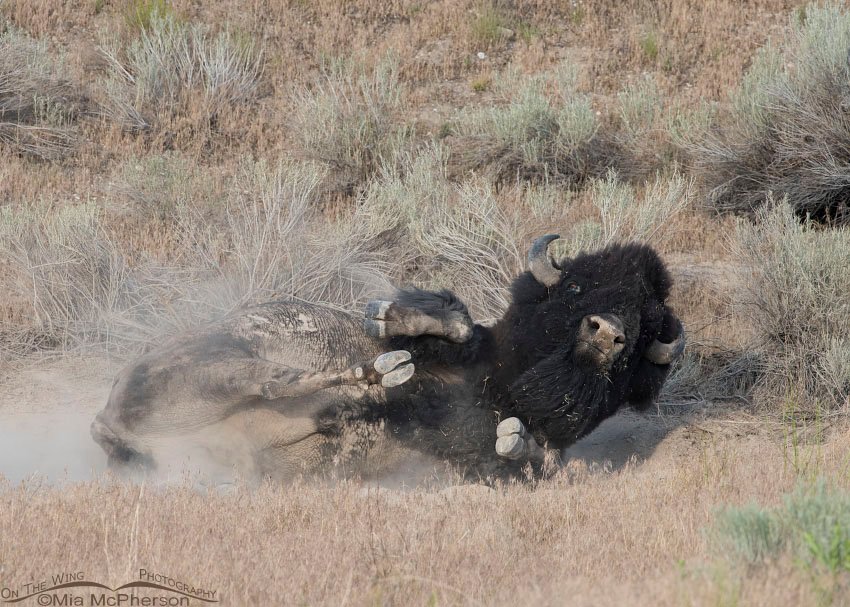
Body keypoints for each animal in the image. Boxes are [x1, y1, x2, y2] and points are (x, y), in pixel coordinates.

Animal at [91, 235, 684, 482]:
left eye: (645, 325)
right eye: (580, 287)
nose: (606, 333)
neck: (497, 384)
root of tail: (105, 419)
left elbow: (535, 459)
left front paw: (516, 440)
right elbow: (455, 321)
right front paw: (385, 321)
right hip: (218, 364)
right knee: (278, 382)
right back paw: (382, 372)